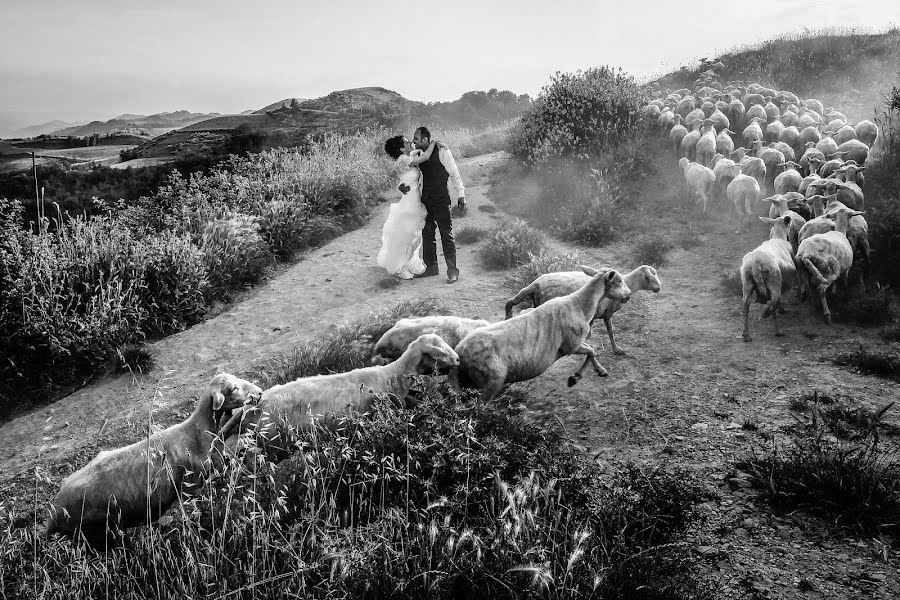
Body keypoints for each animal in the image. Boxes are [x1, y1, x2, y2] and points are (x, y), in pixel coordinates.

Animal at [46, 376, 262, 548]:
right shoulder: (191, 486)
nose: (259, 392)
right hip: (97, 531)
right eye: (232, 388)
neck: (197, 433)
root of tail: (54, 512)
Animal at [454, 266, 628, 398]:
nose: (629, 295)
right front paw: (575, 378)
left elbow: (592, 349)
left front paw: (600, 371)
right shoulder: (571, 345)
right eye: (619, 281)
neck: (578, 305)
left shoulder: (576, 343)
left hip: (469, 382)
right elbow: (591, 350)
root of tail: (459, 352)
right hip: (490, 383)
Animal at [506, 264, 660, 356]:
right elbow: (610, 332)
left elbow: (598, 330)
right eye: (648, 277)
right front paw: (615, 349)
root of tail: (536, 284)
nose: (658, 288)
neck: (627, 283)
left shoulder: (598, 314)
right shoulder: (605, 313)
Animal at [740, 214, 800, 342]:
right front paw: (782, 309)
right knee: (773, 305)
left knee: (745, 308)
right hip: (774, 282)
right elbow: (782, 297)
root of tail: (756, 264)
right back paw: (776, 329)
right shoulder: (786, 281)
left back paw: (746, 335)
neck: (779, 237)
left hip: (747, 283)